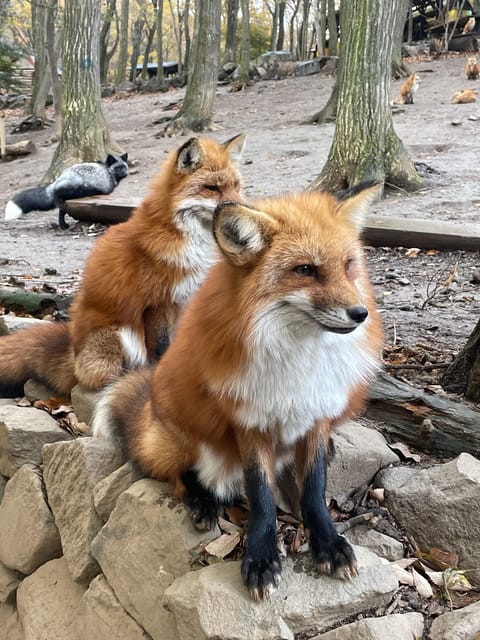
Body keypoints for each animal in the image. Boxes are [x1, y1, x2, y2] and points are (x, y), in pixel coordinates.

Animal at [0, 133, 246, 398]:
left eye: (236, 186)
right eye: (212, 188)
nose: (242, 209)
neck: (187, 241)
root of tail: (73, 352)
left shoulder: (187, 299)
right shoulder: (157, 303)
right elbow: (160, 350)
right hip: (120, 334)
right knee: (101, 379)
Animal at [94, 184, 384, 600]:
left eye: (348, 265)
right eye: (306, 270)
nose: (360, 314)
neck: (298, 360)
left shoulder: (315, 420)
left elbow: (314, 490)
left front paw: (328, 543)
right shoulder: (250, 424)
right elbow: (260, 496)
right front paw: (261, 558)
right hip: (182, 441)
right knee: (175, 474)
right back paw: (202, 502)